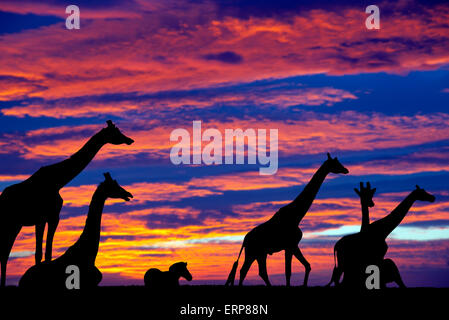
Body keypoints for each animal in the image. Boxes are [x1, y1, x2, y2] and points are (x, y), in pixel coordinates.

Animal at [0, 121, 133, 286]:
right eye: (116, 132)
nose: (130, 140)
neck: (58, 180)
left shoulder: (48, 217)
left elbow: (44, 252)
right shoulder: (47, 217)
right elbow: (43, 252)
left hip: (15, 225)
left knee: (4, 253)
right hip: (9, 223)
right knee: (4, 254)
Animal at [226, 154, 348, 286]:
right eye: (335, 163)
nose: (346, 170)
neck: (296, 216)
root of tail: (244, 240)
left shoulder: (292, 246)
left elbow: (306, 266)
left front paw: (304, 284)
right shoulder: (291, 245)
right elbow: (289, 271)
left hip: (259, 254)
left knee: (257, 271)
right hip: (252, 252)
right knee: (246, 271)